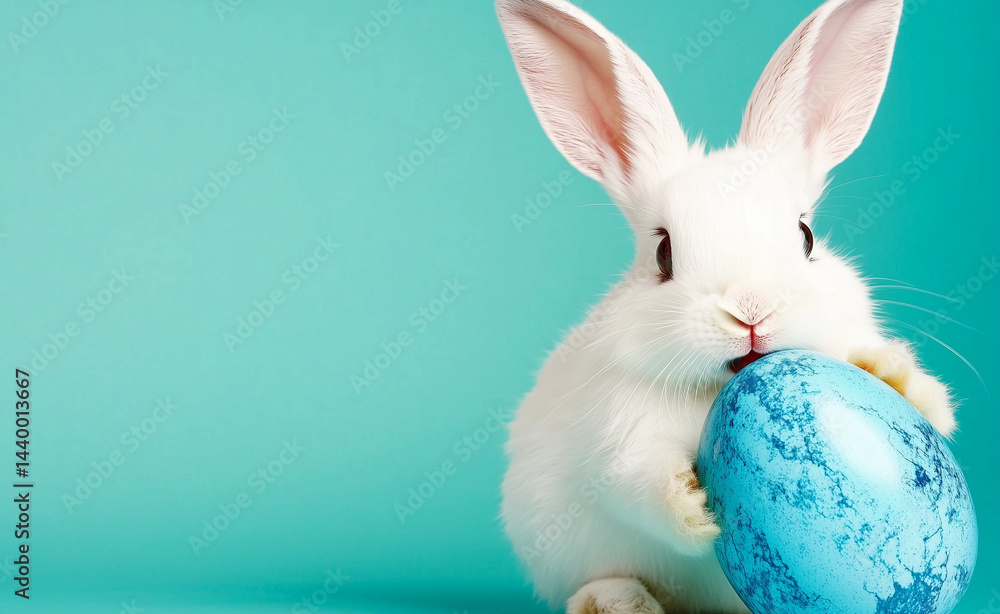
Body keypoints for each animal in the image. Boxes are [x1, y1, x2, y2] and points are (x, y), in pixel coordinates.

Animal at [495, 0, 957, 612]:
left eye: (806, 236)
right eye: (663, 253)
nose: (750, 309)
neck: (721, 385)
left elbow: (929, 406)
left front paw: (891, 373)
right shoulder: (619, 436)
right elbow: (636, 482)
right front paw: (690, 504)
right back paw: (620, 600)